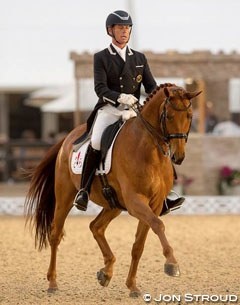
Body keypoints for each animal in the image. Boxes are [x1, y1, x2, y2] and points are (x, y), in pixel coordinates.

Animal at [24, 83, 201, 296]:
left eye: (190, 116)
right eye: (169, 117)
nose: (178, 156)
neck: (149, 151)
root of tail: (68, 137)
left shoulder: (155, 204)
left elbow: (139, 245)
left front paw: (132, 285)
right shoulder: (135, 201)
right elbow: (158, 225)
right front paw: (171, 263)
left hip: (113, 204)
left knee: (96, 227)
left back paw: (106, 272)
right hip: (65, 197)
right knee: (55, 234)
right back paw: (52, 283)